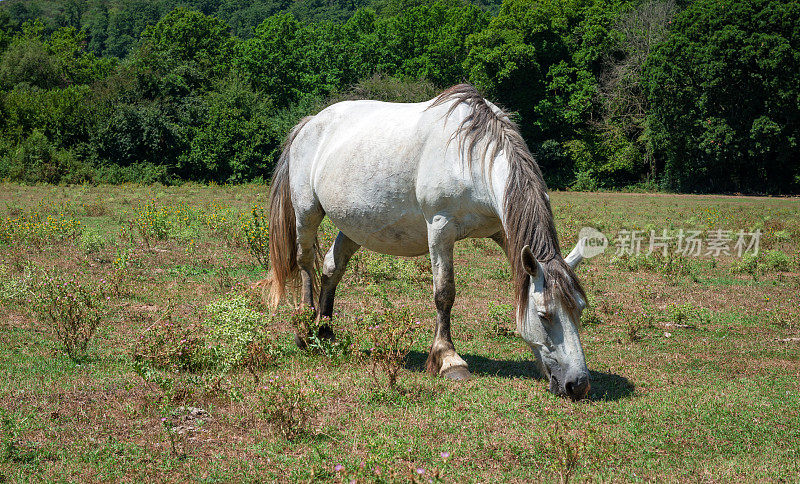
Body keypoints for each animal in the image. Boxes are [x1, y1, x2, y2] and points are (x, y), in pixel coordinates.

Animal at [266, 84, 592, 400]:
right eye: (544, 315)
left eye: (579, 309)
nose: (578, 384)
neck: (470, 156)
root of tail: (310, 123)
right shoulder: (440, 230)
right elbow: (444, 293)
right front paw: (449, 359)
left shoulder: (502, 230)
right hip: (307, 213)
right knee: (305, 263)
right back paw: (305, 330)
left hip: (355, 227)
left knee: (332, 268)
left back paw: (325, 333)